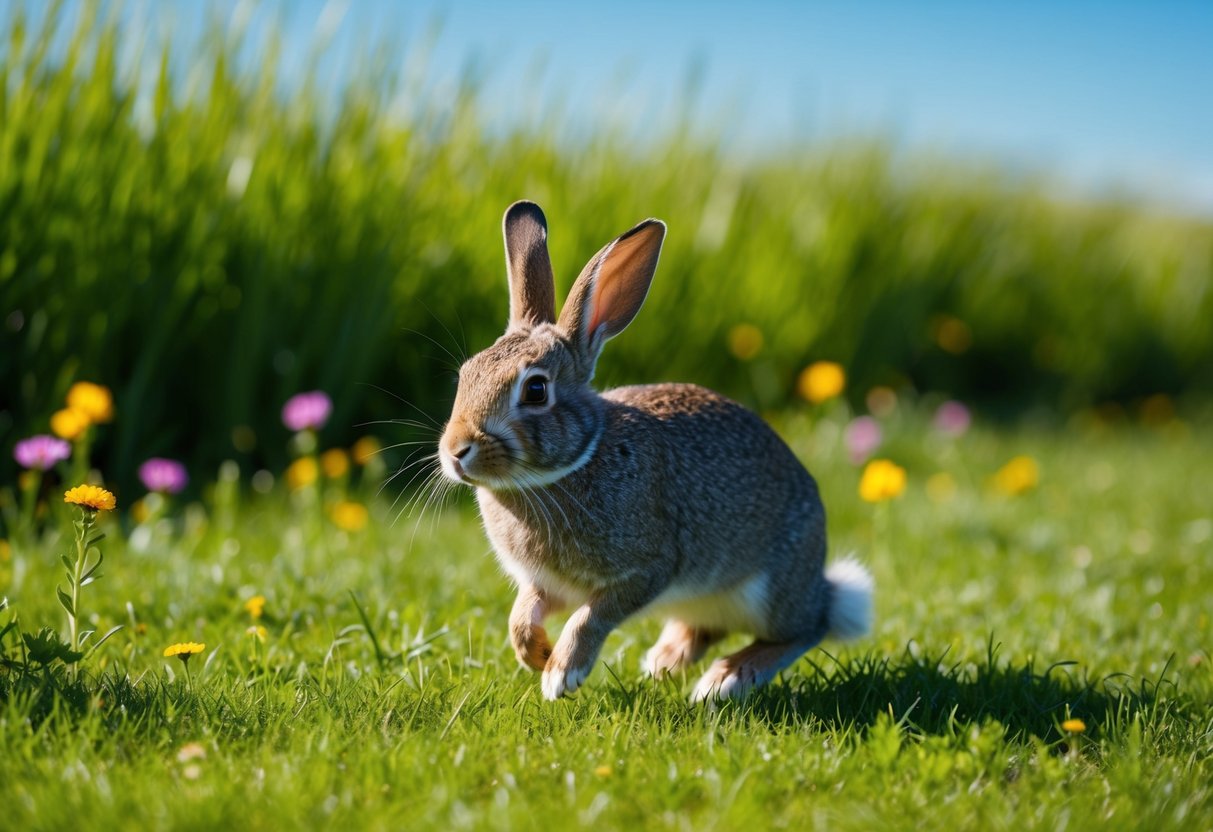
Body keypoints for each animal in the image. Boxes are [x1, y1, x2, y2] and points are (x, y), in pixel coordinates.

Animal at [438, 200, 873, 702]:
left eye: (535, 390)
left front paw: (562, 673)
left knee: (805, 628)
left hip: (769, 589)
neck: (578, 459)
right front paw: (537, 654)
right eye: (465, 374)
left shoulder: (650, 569)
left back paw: (724, 680)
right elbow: (522, 615)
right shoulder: (545, 585)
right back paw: (666, 660)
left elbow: (592, 616)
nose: (456, 451)